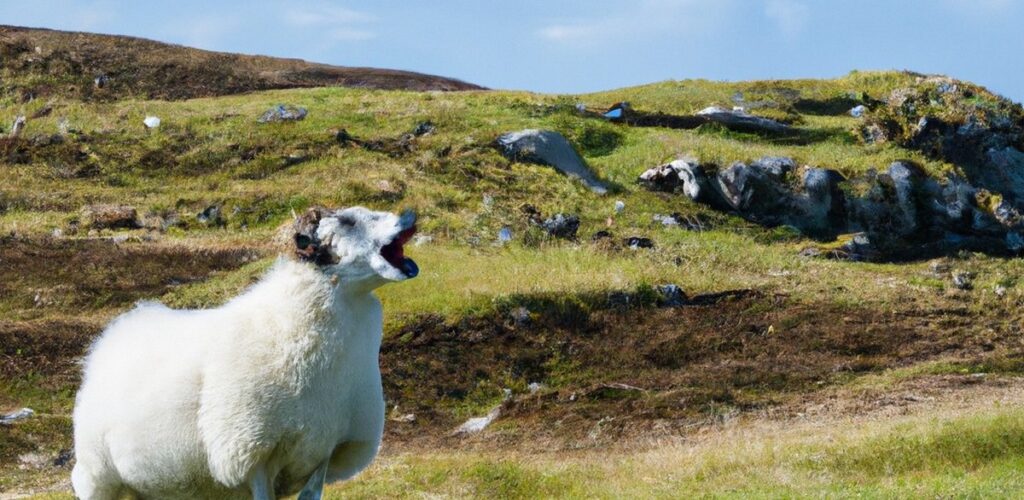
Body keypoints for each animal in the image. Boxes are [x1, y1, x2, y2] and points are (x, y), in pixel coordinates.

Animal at [71, 206, 420, 500]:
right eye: (348, 221)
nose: (409, 215)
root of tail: (124, 324)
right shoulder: (252, 453)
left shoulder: (323, 452)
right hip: (97, 474)